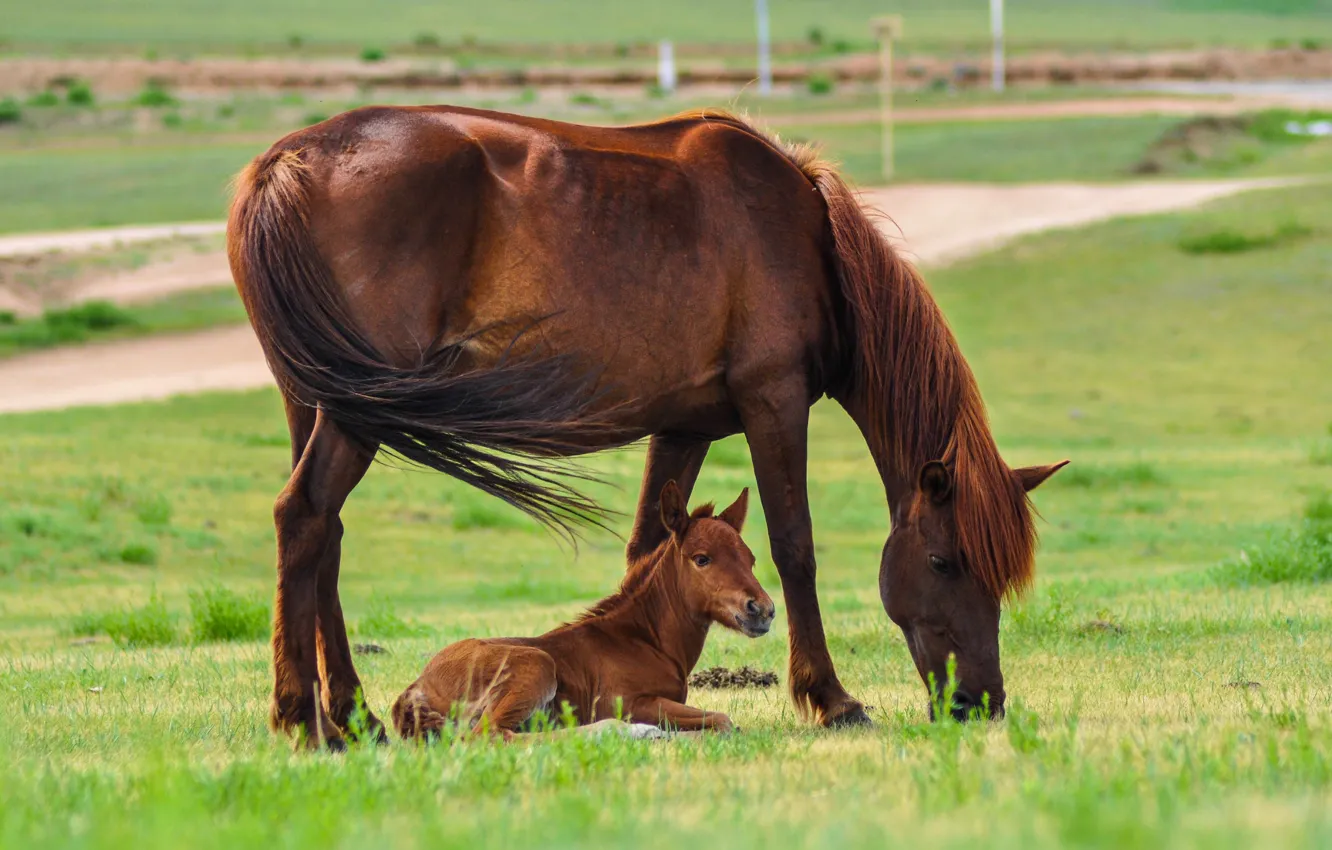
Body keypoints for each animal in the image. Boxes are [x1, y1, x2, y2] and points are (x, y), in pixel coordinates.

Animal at [393, 482, 770, 740]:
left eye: (750, 559)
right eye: (701, 558)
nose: (762, 610)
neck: (644, 640)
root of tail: (417, 686)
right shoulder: (631, 702)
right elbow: (722, 720)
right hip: (536, 666)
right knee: (492, 735)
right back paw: (627, 732)